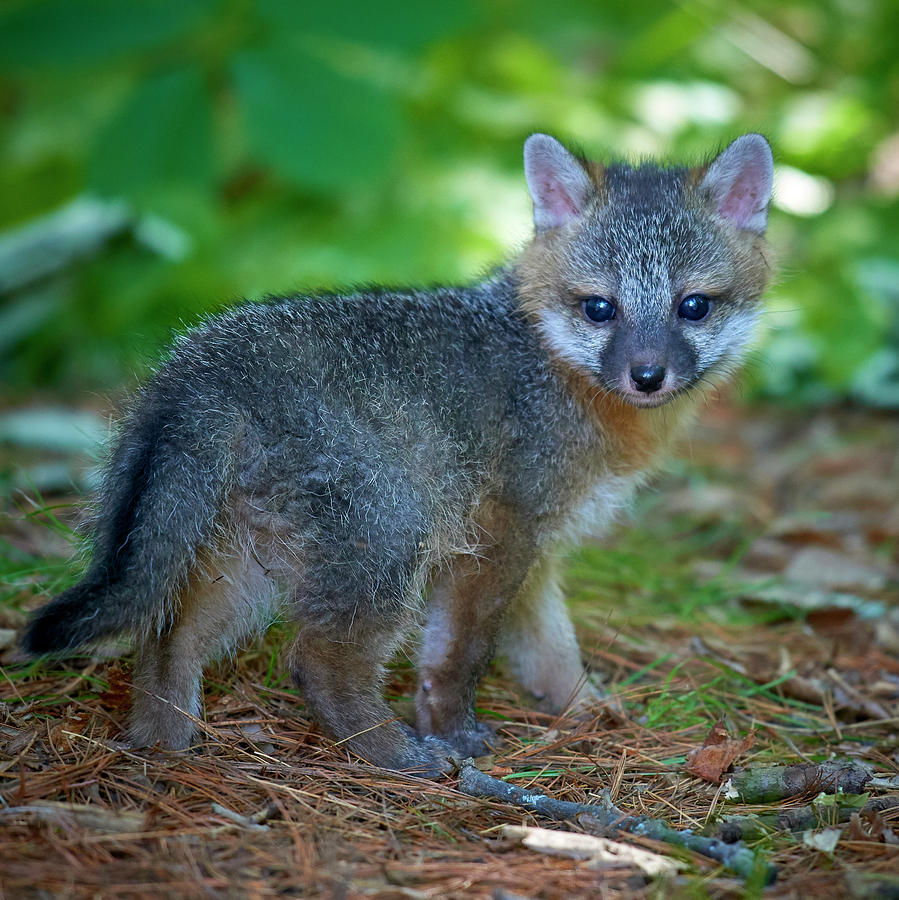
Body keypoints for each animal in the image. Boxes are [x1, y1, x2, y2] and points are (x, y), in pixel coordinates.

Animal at [24, 132, 776, 772]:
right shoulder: (499, 539)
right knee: (317, 662)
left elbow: (553, 655)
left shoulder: (538, 552)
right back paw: (394, 753)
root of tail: (199, 364)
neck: (548, 367)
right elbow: (459, 656)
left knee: (167, 639)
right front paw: (453, 732)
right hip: (388, 542)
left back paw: (163, 745)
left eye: (693, 306)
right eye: (600, 309)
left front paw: (590, 714)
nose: (647, 375)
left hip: (241, 564)